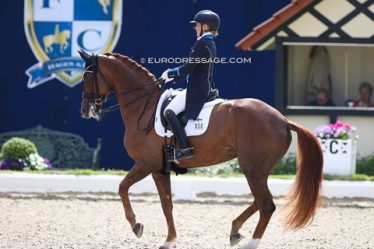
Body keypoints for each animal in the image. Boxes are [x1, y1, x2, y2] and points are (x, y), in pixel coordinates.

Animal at [77, 50, 322, 249]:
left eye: (88, 76)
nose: (85, 110)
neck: (143, 107)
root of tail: (282, 120)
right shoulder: (160, 169)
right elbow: (167, 204)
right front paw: (169, 240)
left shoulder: (148, 164)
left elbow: (122, 188)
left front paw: (136, 225)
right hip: (258, 169)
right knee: (260, 201)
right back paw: (235, 230)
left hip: (252, 168)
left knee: (266, 204)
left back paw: (251, 242)